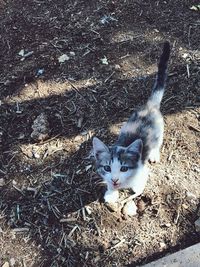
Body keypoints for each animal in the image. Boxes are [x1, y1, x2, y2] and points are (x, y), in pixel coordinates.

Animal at [92, 42, 170, 207]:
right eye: (107, 168)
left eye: (124, 168)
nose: (115, 179)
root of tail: (150, 106)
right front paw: (111, 193)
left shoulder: (142, 171)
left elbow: (138, 187)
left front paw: (134, 191)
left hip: (159, 131)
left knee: (157, 142)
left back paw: (154, 153)